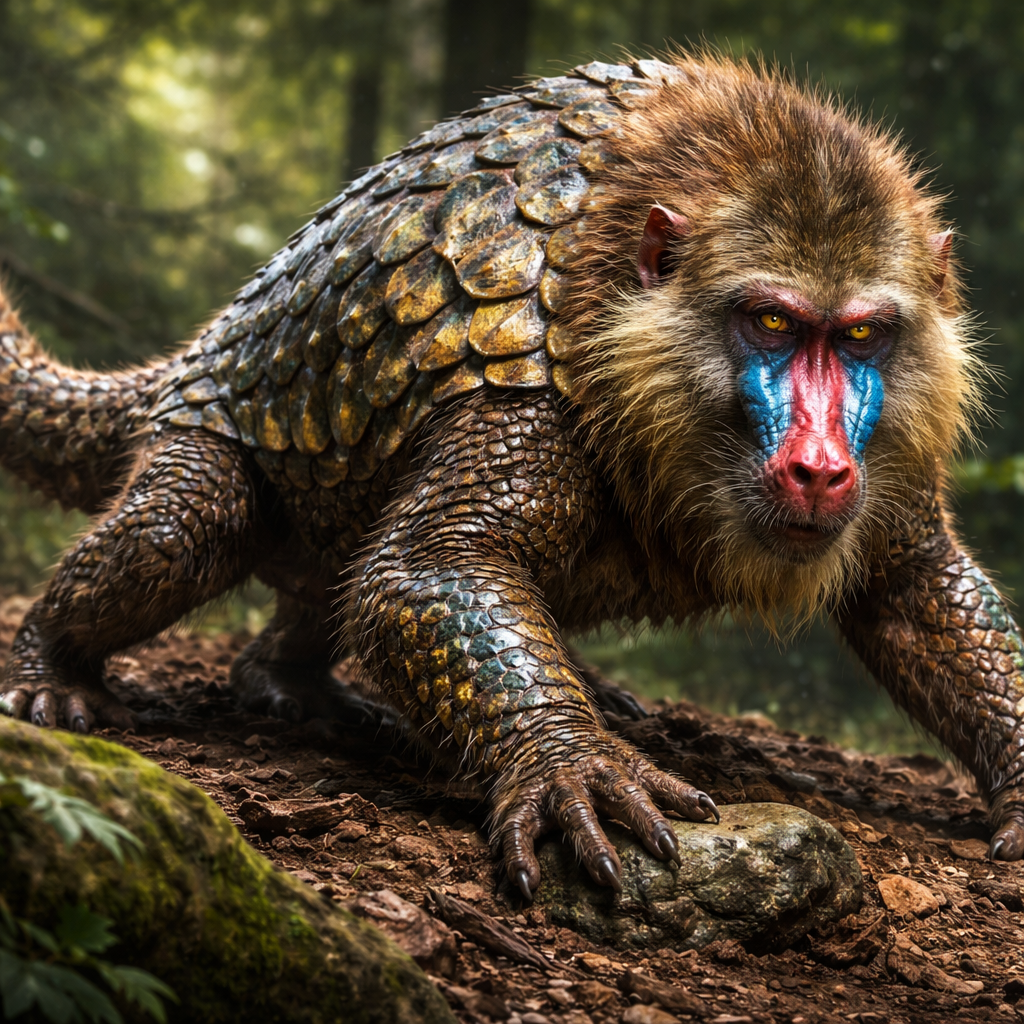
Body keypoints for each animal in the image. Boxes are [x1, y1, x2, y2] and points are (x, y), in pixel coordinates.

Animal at [0, 53, 1020, 902]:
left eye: (860, 335)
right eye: (770, 323)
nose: (819, 466)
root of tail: (209, 346)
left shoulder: (894, 456)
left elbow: (918, 588)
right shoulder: (530, 390)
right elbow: (431, 567)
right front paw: (570, 757)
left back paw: (292, 680)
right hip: (204, 427)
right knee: (182, 526)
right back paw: (49, 666)